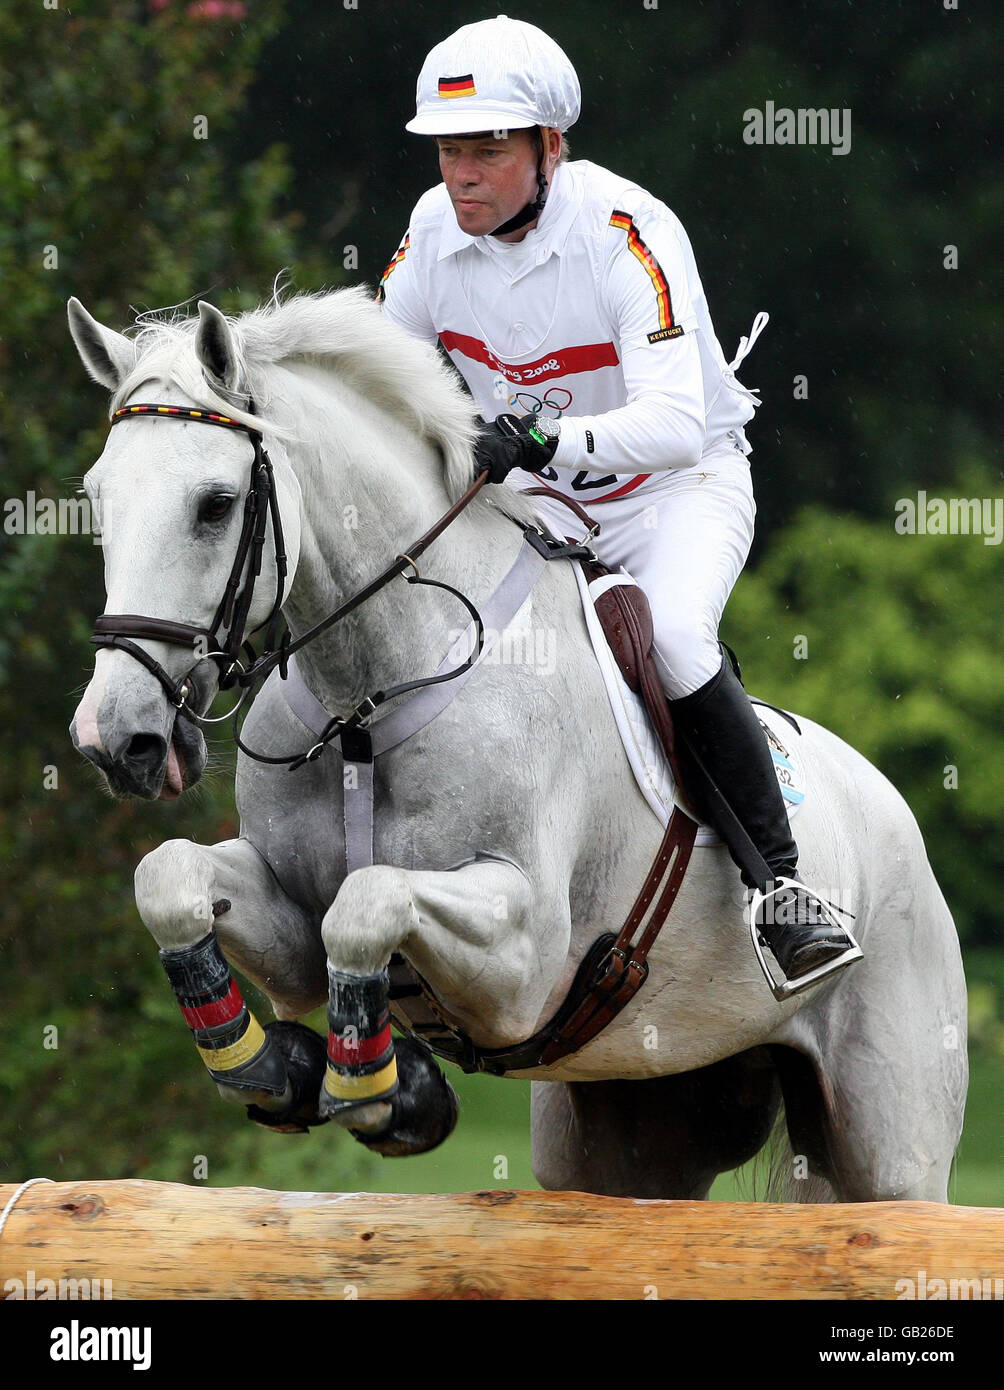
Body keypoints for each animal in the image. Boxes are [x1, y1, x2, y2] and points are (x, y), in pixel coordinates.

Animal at [66, 287, 967, 1200]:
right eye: (99, 498)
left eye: (215, 504)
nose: (118, 738)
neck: (368, 697)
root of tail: (895, 817)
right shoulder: (290, 929)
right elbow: (169, 877)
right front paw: (273, 1068)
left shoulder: (523, 960)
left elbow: (369, 901)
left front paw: (385, 1094)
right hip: (637, 1122)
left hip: (891, 1143)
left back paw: (801, 924)